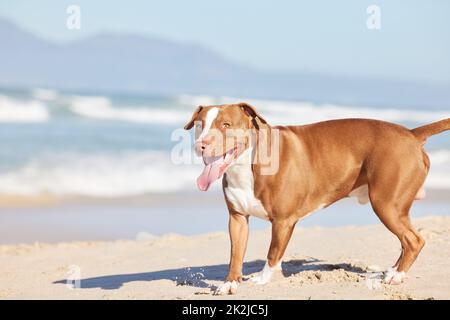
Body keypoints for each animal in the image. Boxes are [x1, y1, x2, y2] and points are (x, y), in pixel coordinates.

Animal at [184, 102, 450, 296]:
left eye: (226, 124)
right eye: (200, 125)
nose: (201, 145)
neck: (248, 163)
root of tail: (411, 134)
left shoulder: (283, 221)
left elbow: (273, 253)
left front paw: (262, 279)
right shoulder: (237, 219)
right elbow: (235, 254)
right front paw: (230, 283)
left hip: (386, 204)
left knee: (413, 240)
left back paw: (397, 276)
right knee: (406, 241)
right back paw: (392, 270)